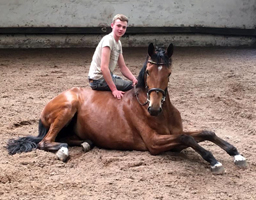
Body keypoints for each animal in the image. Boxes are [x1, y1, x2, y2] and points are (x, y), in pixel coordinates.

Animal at [6, 43, 246, 174]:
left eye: (169, 73)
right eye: (148, 72)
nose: (154, 108)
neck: (162, 114)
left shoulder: (174, 135)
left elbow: (206, 133)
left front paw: (236, 155)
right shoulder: (154, 143)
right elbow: (189, 139)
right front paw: (214, 162)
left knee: (65, 138)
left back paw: (84, 143)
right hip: (68, 107)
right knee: (46, 141)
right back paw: (64, 151)